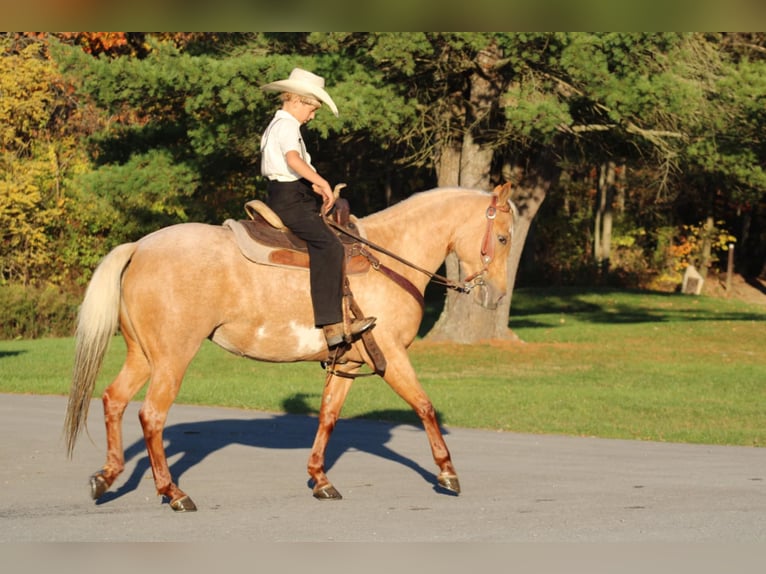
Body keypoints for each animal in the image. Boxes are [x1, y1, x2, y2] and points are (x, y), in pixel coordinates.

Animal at [63, 183, 512, 512]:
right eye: (505, 237)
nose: (495, 295)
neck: (389, 259)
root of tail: (138, 247)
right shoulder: (391, 356)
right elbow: (424, 406)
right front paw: (447, 473)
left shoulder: (349, 362)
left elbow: (328, 416)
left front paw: (321, 479)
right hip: (173, 358)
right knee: (151, 416)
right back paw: (173, 493)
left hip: (144, 356)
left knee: (114, 400)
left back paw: (106, 477)